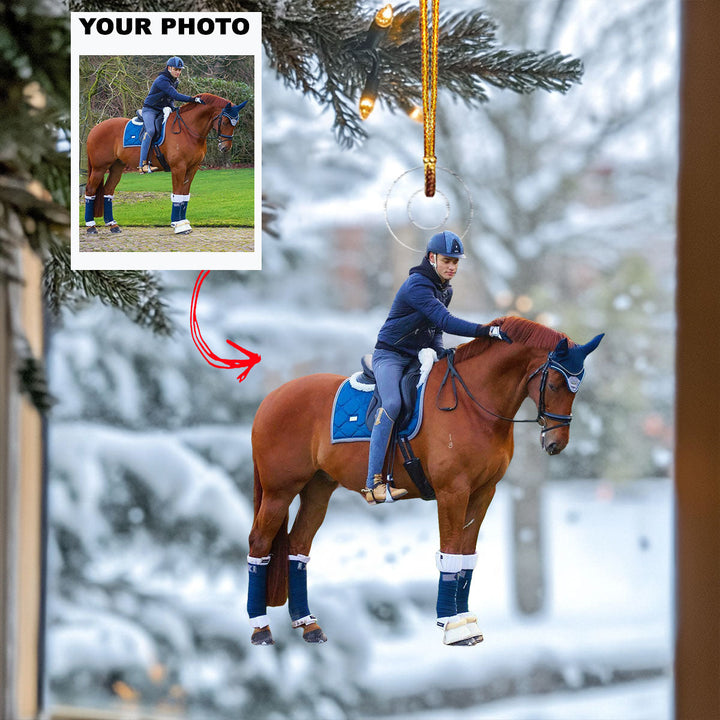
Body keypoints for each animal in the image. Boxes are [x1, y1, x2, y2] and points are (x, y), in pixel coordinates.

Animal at [83, 93, 248, 235]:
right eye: (225, 122)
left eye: (236, 123)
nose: (225, 147)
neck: (188, 130)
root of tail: (96, 128)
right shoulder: (178, 168)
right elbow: (177, 195)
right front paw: (179, 226)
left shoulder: (192, 169)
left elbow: (185, 195)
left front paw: (184, 223)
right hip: (99, 168)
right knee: (90, 190)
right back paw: (91, 226)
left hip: (117, 167)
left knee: (108, 191)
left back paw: (113, 225)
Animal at [247, 316, 603, 646]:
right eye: (555, 384)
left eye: (577, 386)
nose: (556, 443)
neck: (474, 404)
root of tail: (271, 398)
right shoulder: (453, 491)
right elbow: (450, 552)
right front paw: (452, 624)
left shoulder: (483, 492)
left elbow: (466, 555)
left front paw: (465, 619)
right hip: (279, 491)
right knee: (260, 544)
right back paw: (260, 627)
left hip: (317, 489)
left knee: (298, 547)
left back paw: (308, 625)